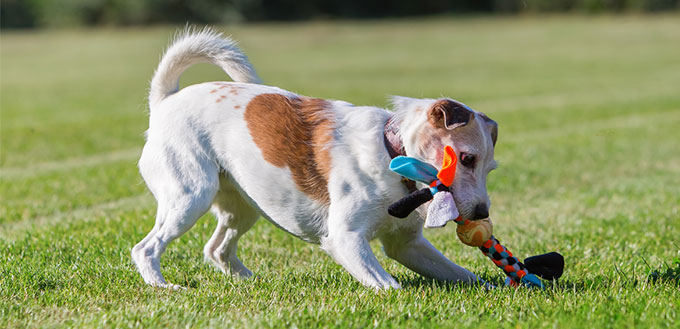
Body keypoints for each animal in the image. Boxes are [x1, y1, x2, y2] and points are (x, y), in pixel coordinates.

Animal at [131, 28, 500, 290]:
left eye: (490, 168)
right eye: (466, 158)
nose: (482, 213)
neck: (392, 153)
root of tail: (165, 101)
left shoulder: (406, 245)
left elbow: (465, 275)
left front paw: (501, 288)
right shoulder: (345, 238)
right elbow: (388, 286)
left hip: (244, 206)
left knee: (216, 249)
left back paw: (251, 282)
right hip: (190, 196)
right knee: (146, 248)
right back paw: (163, 286)